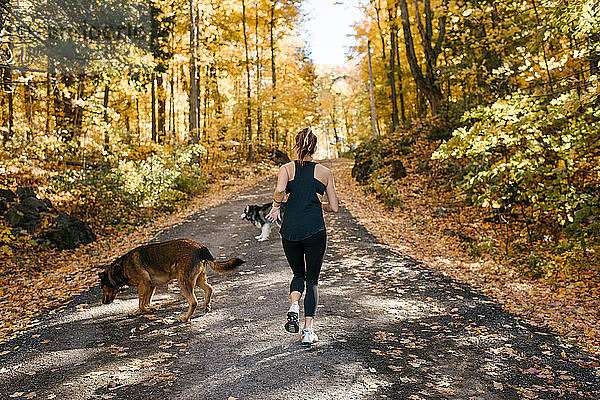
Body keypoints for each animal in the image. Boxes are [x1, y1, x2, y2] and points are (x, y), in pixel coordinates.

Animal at [98, 238, 244, 322]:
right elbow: (146, 301)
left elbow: (141, 303)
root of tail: (200, 247)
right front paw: (141, 311)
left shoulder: (143, 284)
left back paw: (185, 318)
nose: (103, 302)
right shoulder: (151, 286)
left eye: (102, 287)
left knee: (193, 302)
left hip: (183, 281)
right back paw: (206, 306)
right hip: (198, 279)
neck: (121, 268)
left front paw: (147, 310)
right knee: (209, 289)